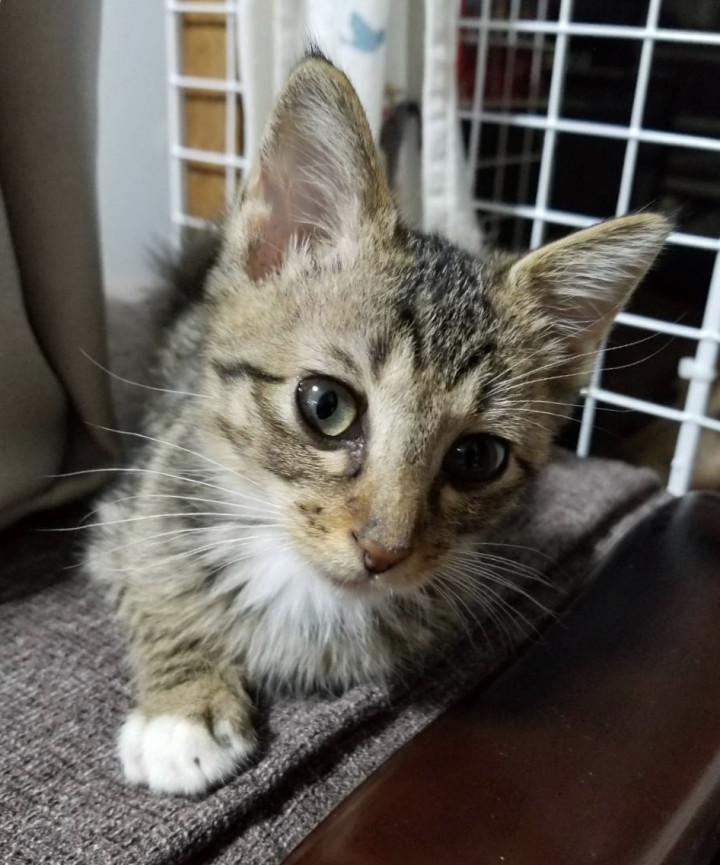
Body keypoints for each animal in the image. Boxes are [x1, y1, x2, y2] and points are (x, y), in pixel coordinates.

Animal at [86, 51, 669, 796]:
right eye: (325, 405)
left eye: (477, 458)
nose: (383, 552)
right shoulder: (135, 505)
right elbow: (151, 576)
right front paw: (183, 709)